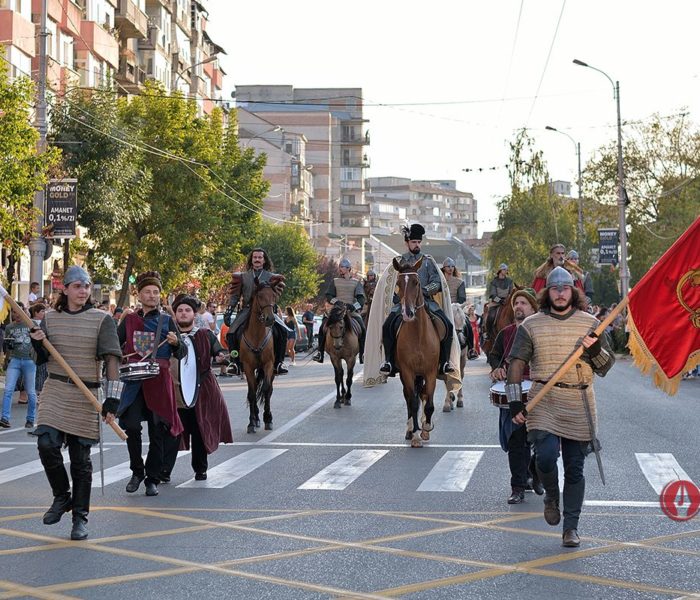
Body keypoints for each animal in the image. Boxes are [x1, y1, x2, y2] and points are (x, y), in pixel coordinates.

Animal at [241, 274, 284, 434]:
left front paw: (268, 419)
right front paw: (252, 422)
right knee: (252, 390)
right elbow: (252, 393)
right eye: (259, 296)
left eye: (274, 296)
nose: (270, 319)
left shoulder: (268, 365)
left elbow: (266, 389)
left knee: (269, 389)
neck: (257, 335)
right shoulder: (247, 366)